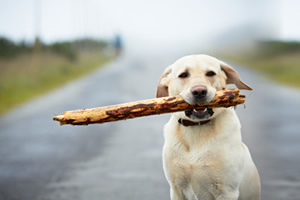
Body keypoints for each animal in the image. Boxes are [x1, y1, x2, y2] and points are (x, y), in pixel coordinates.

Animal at [157, 54, 260, 200]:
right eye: (183, 75)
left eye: (211, 73)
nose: (199, 91)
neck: (197, 128)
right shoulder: (177, 189)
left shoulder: (226, 191)